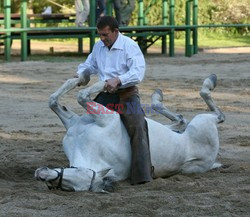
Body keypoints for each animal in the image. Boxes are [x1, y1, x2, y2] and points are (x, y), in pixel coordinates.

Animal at [34, 73, 225, 192]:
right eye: (61, 187)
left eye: (81, 174)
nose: (41, 175)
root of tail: (211, 161)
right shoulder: (73, 124)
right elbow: (54, 100)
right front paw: (84, 79)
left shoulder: (103, 118)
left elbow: (79, 95)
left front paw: (99, 81)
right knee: (181, 121)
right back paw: (158, 98)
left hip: (202, 121)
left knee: (218, 115)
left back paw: (209, 82)